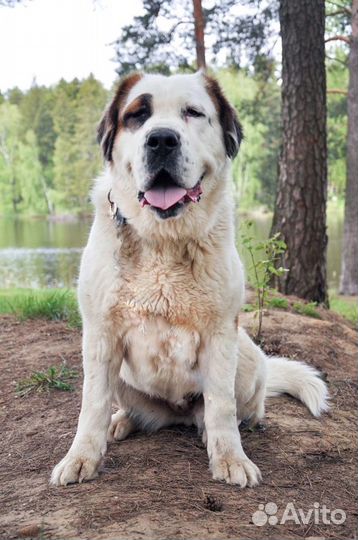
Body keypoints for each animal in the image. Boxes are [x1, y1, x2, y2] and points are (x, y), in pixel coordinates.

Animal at [50, 69, 328, 488]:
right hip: (124, 375)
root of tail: (175, 414)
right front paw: (81, 457)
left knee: (235, 406)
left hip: (247, 356)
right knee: (130, 408)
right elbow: (92, 403)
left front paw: (230, 458)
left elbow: (220, 406)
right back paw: (123, 421)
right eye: (137, 115)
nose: (161, 139)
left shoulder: (221, 334)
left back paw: (226, 427)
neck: (164, 241)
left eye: (193, 113)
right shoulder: (100, 336)